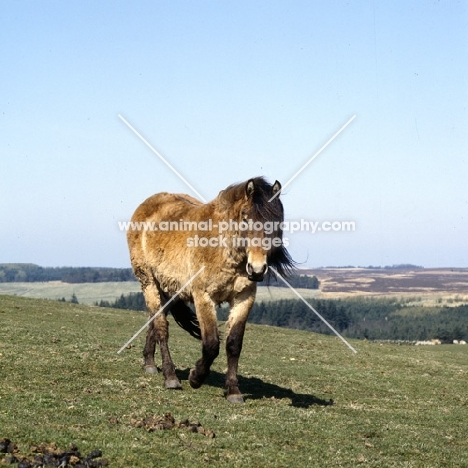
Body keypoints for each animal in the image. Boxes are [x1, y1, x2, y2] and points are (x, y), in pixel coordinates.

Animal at [127, 176, 292, 402]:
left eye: (276, 221)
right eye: (245, 217)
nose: (257, 269)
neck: (223, 247)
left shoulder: (244, 298)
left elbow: (233, 344)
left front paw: (233, 391)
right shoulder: (203, 297)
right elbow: (212, 344)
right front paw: (196, 377)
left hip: (168, 289)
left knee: (154, 320)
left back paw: (149, 363)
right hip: (149, 282)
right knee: (161, 327)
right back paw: (170, 377)